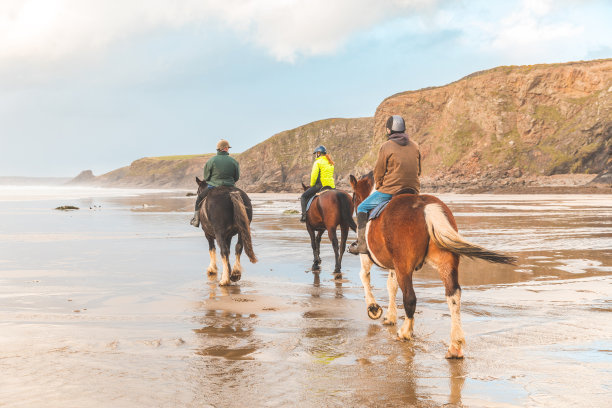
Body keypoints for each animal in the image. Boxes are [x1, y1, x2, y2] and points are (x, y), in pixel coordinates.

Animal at [346, 172, 512, 356]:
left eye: (354, 197)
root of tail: (426, 208)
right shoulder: (393, 266)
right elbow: (391, 286)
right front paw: (390, 316)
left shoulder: (369, 257)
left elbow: (365, 277)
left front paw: (373, 308)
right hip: (445, 261)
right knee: (453, 295)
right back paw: (455, 345)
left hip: (405, 267)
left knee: (410, 298)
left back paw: (405, 332)